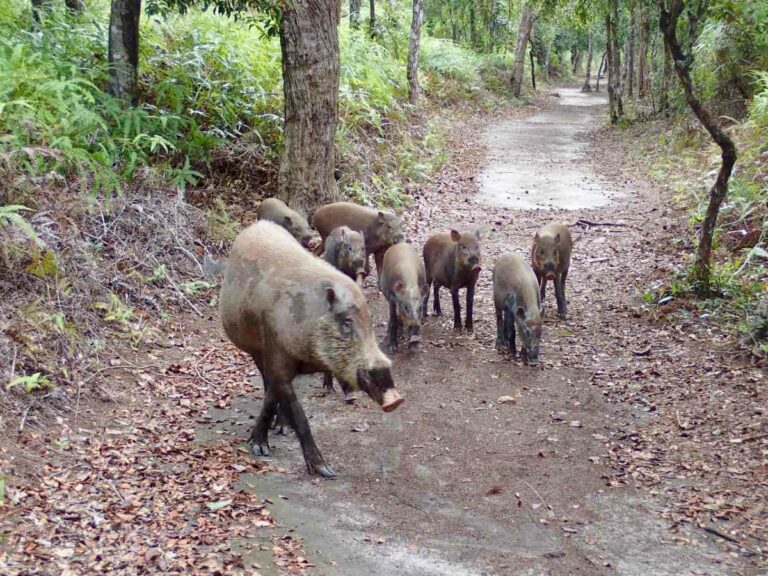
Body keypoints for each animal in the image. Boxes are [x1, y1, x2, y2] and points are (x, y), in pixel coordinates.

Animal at [220, 221, 404, 477]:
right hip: (253, 347)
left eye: (369, 322)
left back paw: (282, 428)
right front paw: (325, 471)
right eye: (347, 323)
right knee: (265, 380)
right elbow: (298, 414)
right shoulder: (275, 352)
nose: (396, 400)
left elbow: (274, 398)